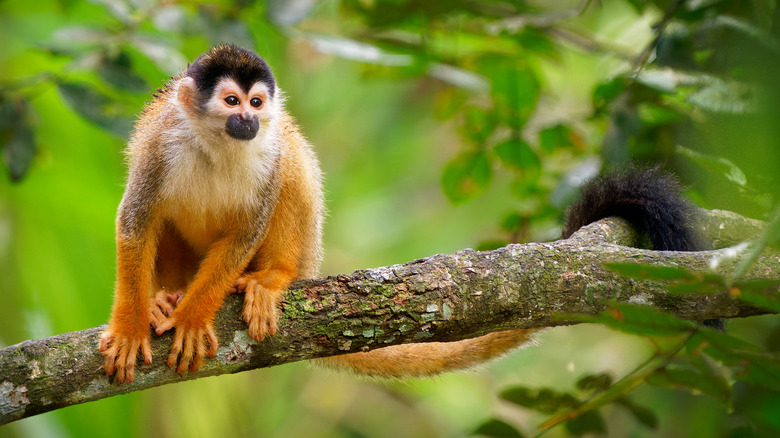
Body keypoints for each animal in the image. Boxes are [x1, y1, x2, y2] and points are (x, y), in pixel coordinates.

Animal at [100, 44, 704, 382]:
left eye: (255, 104)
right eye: (230, 103)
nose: (249, 120)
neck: (216, 142)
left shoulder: (264, 153)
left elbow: (249, 225)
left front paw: (194, 317)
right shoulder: (159, 144)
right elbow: (134, 221)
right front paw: (132, 323)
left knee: (294, 160)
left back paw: (271, 278)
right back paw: (167, 294)